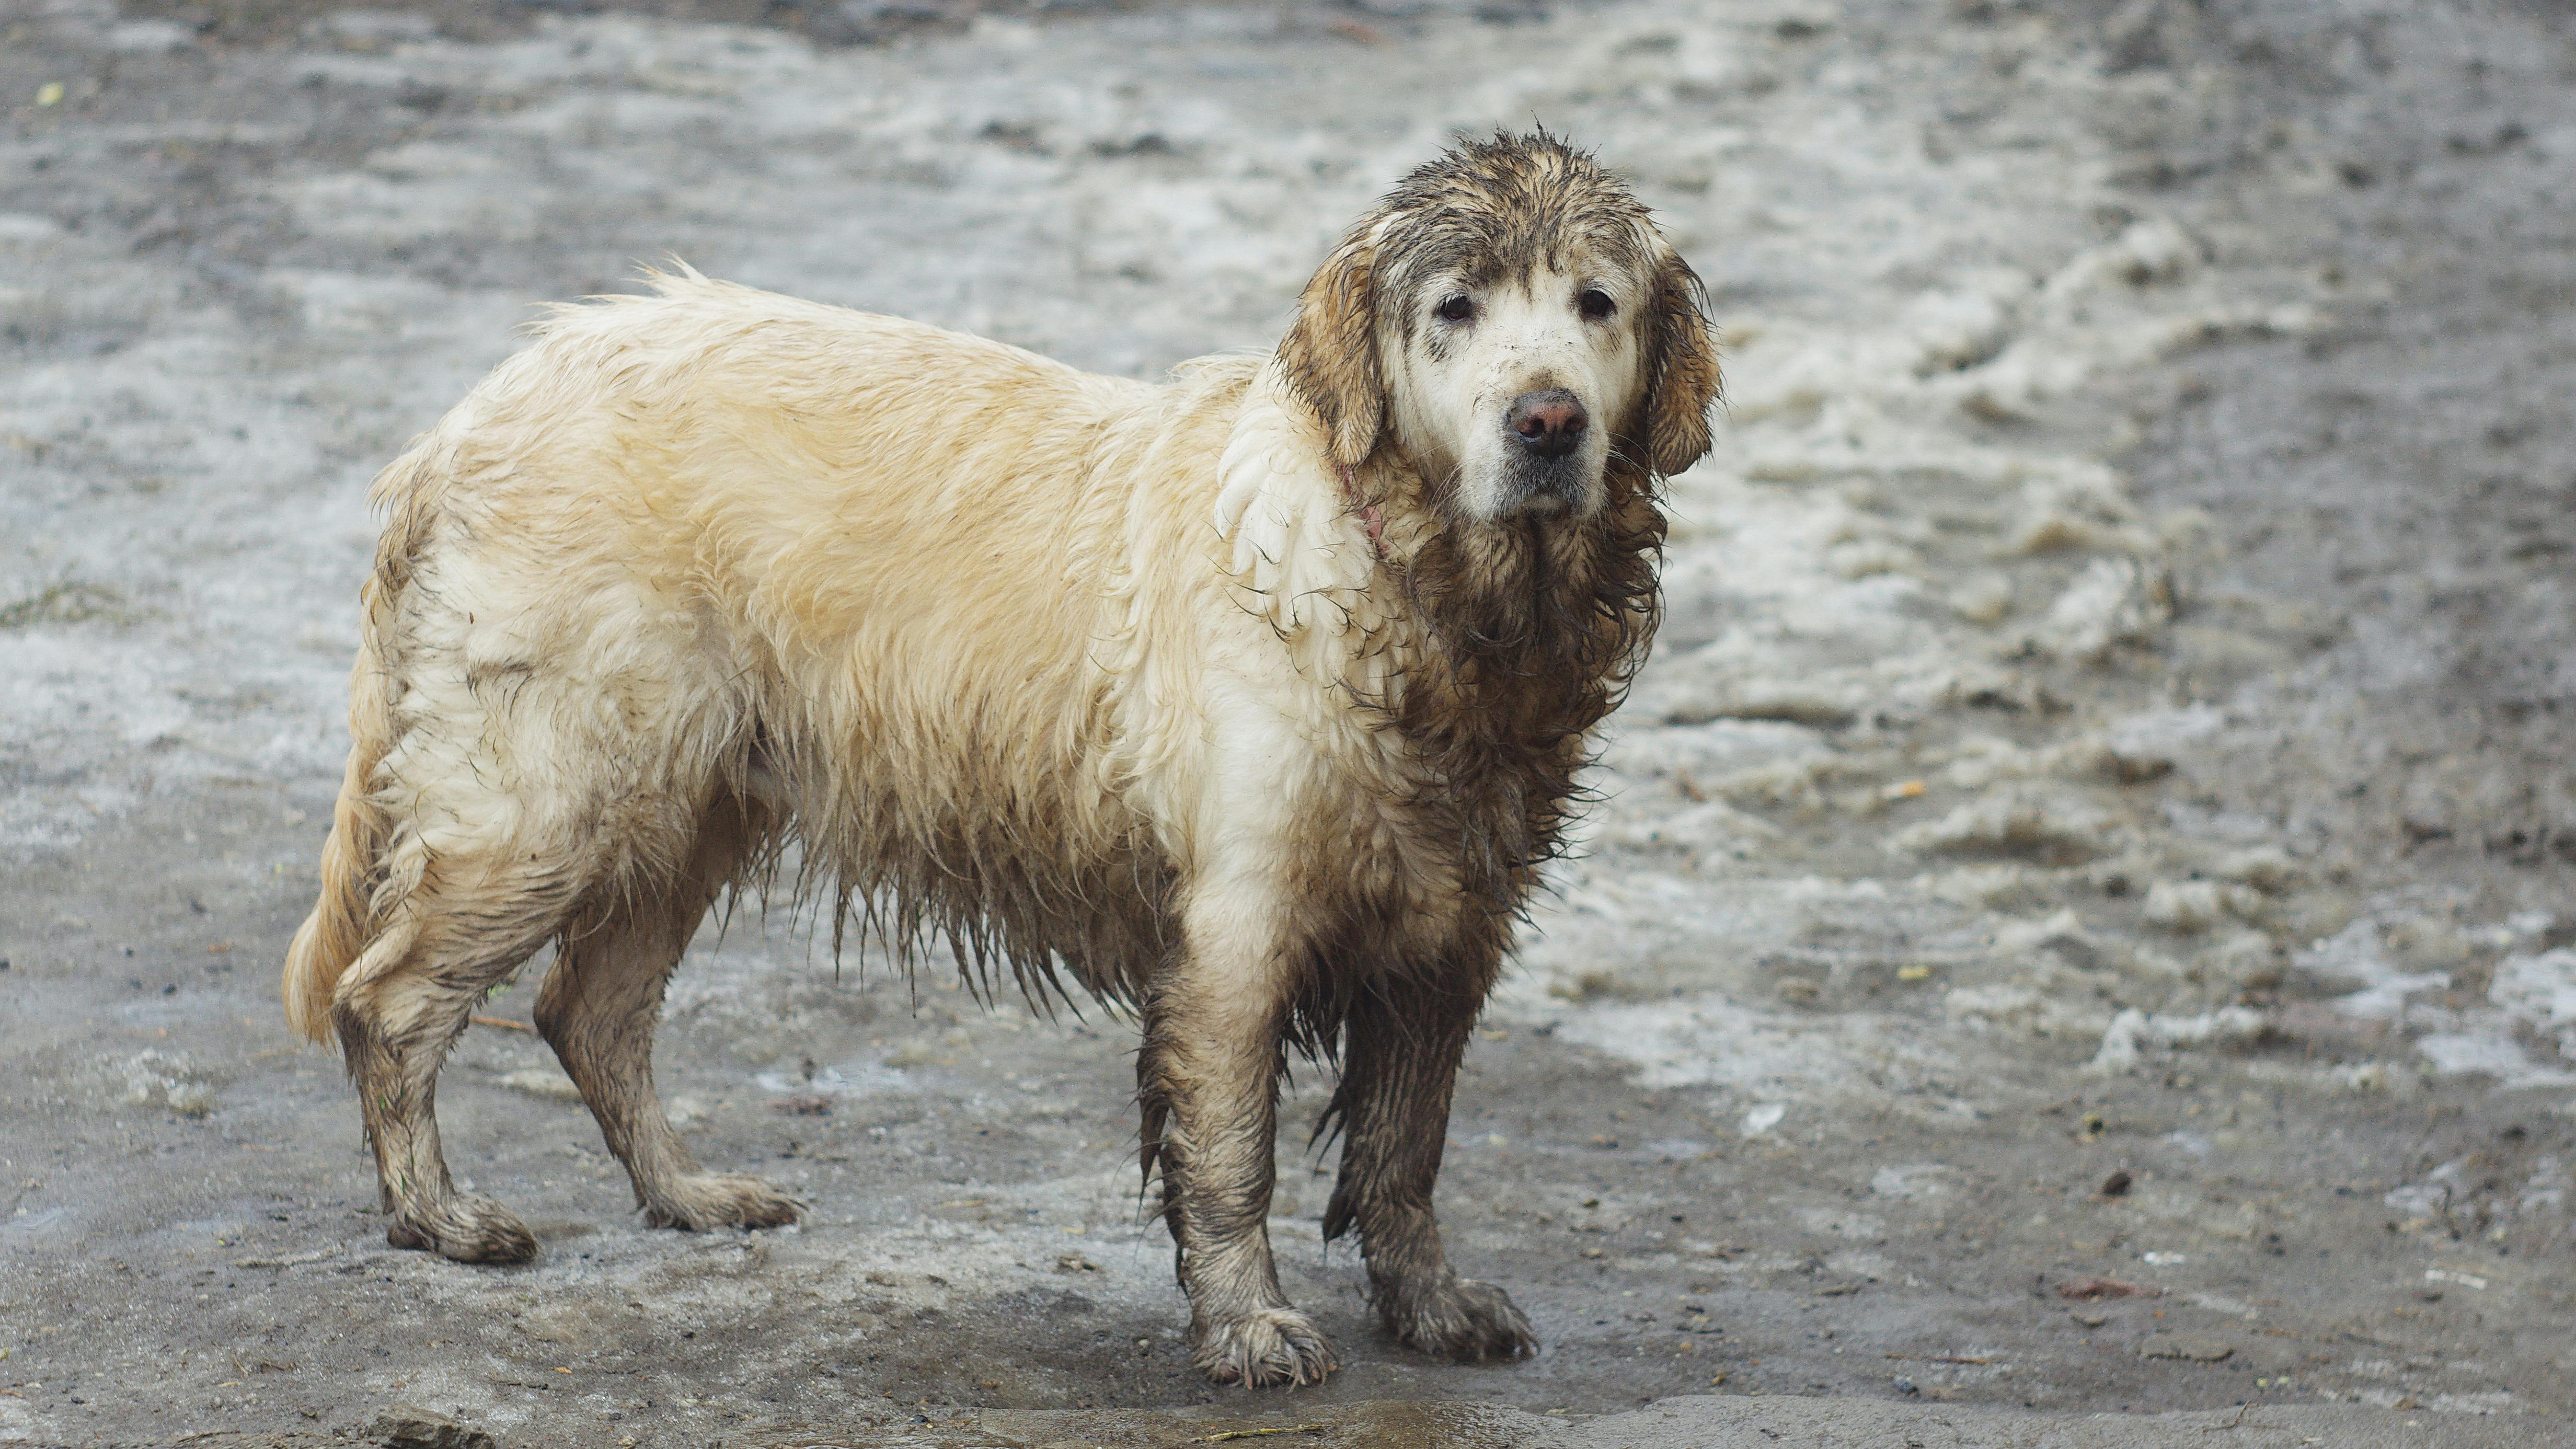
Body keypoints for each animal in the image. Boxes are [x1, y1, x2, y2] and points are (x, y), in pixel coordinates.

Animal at [287, 129, 1710, 1382]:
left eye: (1597, 304)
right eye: (1455, 310)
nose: (1547, 423)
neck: (1414, 584)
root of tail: (469, 416)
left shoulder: (1450, 927)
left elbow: (1406, 1146)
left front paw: (1431, 1305)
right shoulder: (1238, 928)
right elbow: (1231, 1153)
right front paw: (1251, 1329)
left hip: (693, 800)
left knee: (589, 1010)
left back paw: (689, 1194)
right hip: (555, 794)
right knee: (390, 996)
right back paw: (442, 1219)